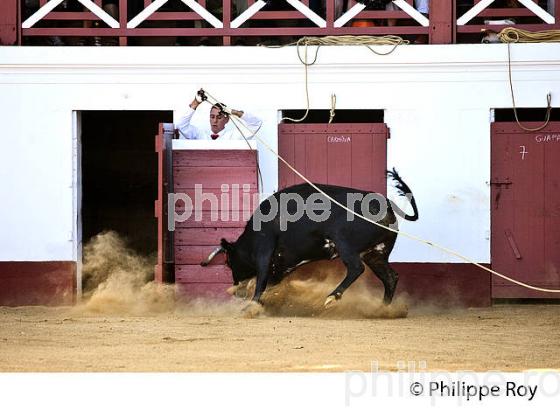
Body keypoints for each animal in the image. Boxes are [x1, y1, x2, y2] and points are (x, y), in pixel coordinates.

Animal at [199, 169, 418, 308]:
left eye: (228, 262)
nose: (235, 286)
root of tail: (386, 203)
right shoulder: (282, 266)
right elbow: (267, 282)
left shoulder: (264, 251)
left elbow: (260, 280)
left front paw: (252, 304)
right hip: (375, 253)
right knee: (390, 277)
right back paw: (383, 309)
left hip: (344, 242)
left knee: (356, 268)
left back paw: (331, 298)